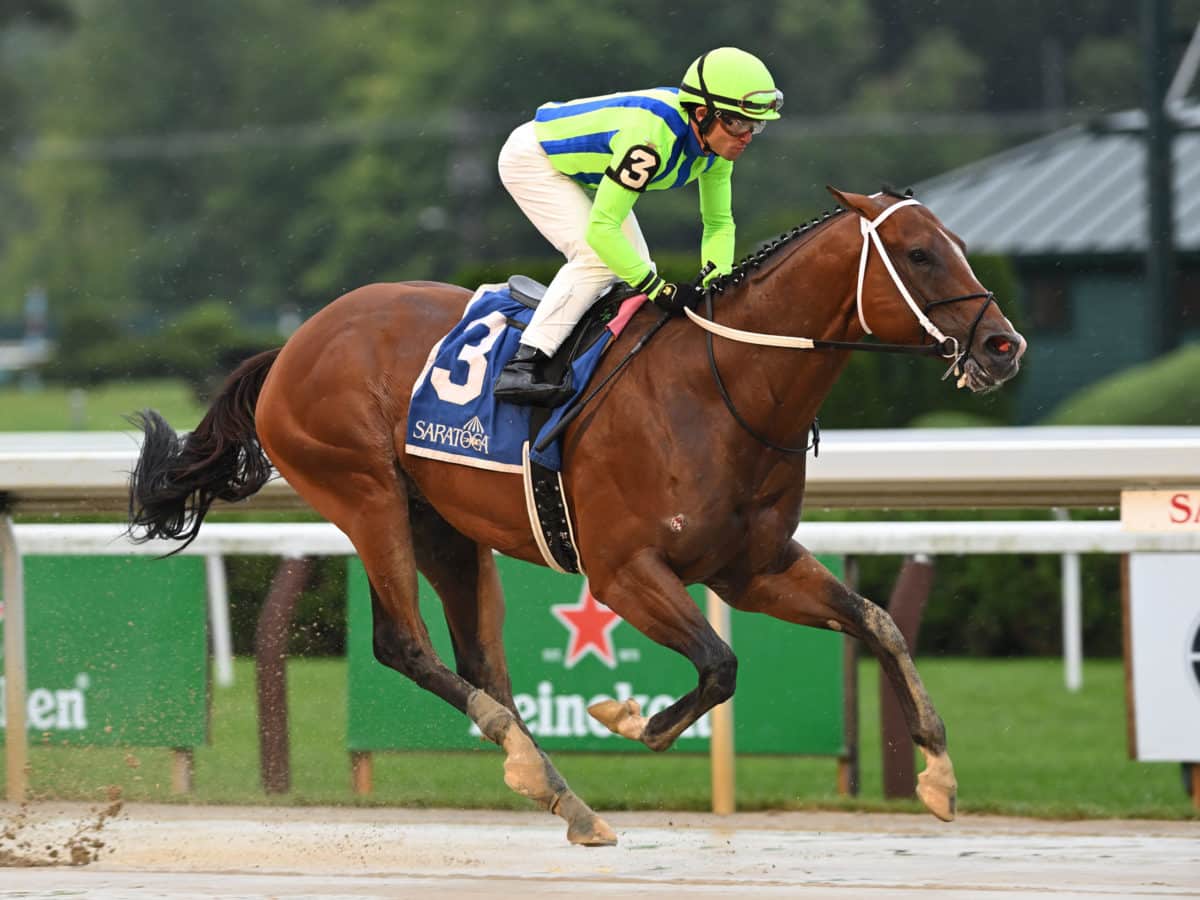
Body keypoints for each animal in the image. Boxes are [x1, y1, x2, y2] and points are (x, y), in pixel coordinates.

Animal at [133, 188, 1032, 844]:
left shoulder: (752, 567)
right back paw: (546, 776)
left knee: (479, 659)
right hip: (365, 493)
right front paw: (631, 717)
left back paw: (555, 788)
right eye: (919, 252)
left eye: (954, 240)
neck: (722, 388)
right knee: (405, 645)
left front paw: (938, 773)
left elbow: (877, 621)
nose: (1003, 346)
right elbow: (720, 666)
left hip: (446, 524)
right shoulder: (625, 571)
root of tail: (290, 345)